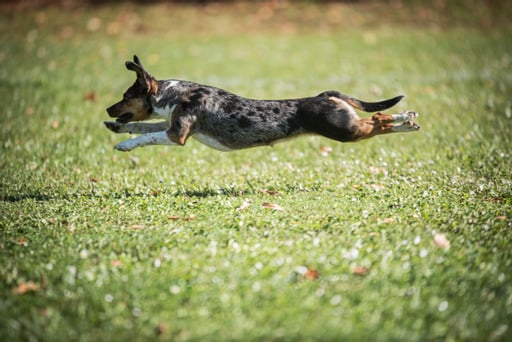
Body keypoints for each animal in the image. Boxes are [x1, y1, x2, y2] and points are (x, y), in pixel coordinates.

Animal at [105, 55, 420, 152]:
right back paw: (409, 121)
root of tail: (323, 96)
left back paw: (406, 119)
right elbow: (143, 128)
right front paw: (116, 128)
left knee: (378, 120)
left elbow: (148, 136)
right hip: (349, 129)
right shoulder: (172, 125)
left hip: (345, 131)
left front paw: (124, 145)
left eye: (125, 96)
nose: (108, 109)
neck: (176, 95)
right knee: (378, 120)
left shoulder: (177, 135)